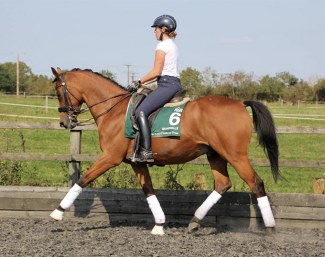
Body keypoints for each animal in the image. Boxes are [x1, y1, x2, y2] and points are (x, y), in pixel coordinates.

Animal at [48, 66, 278, 234]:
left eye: (59, 92)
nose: (64, 122)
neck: (115, 111)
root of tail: (239, 103)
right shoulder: (136, 162)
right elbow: (148, 190)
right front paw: (159, 225)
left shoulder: (110, 158)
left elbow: (83, 179)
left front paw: (57, 212)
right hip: (215, 155)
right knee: (223, 184)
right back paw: (194, 222)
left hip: (236, 155)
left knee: (256, 183)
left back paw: (270, 229)